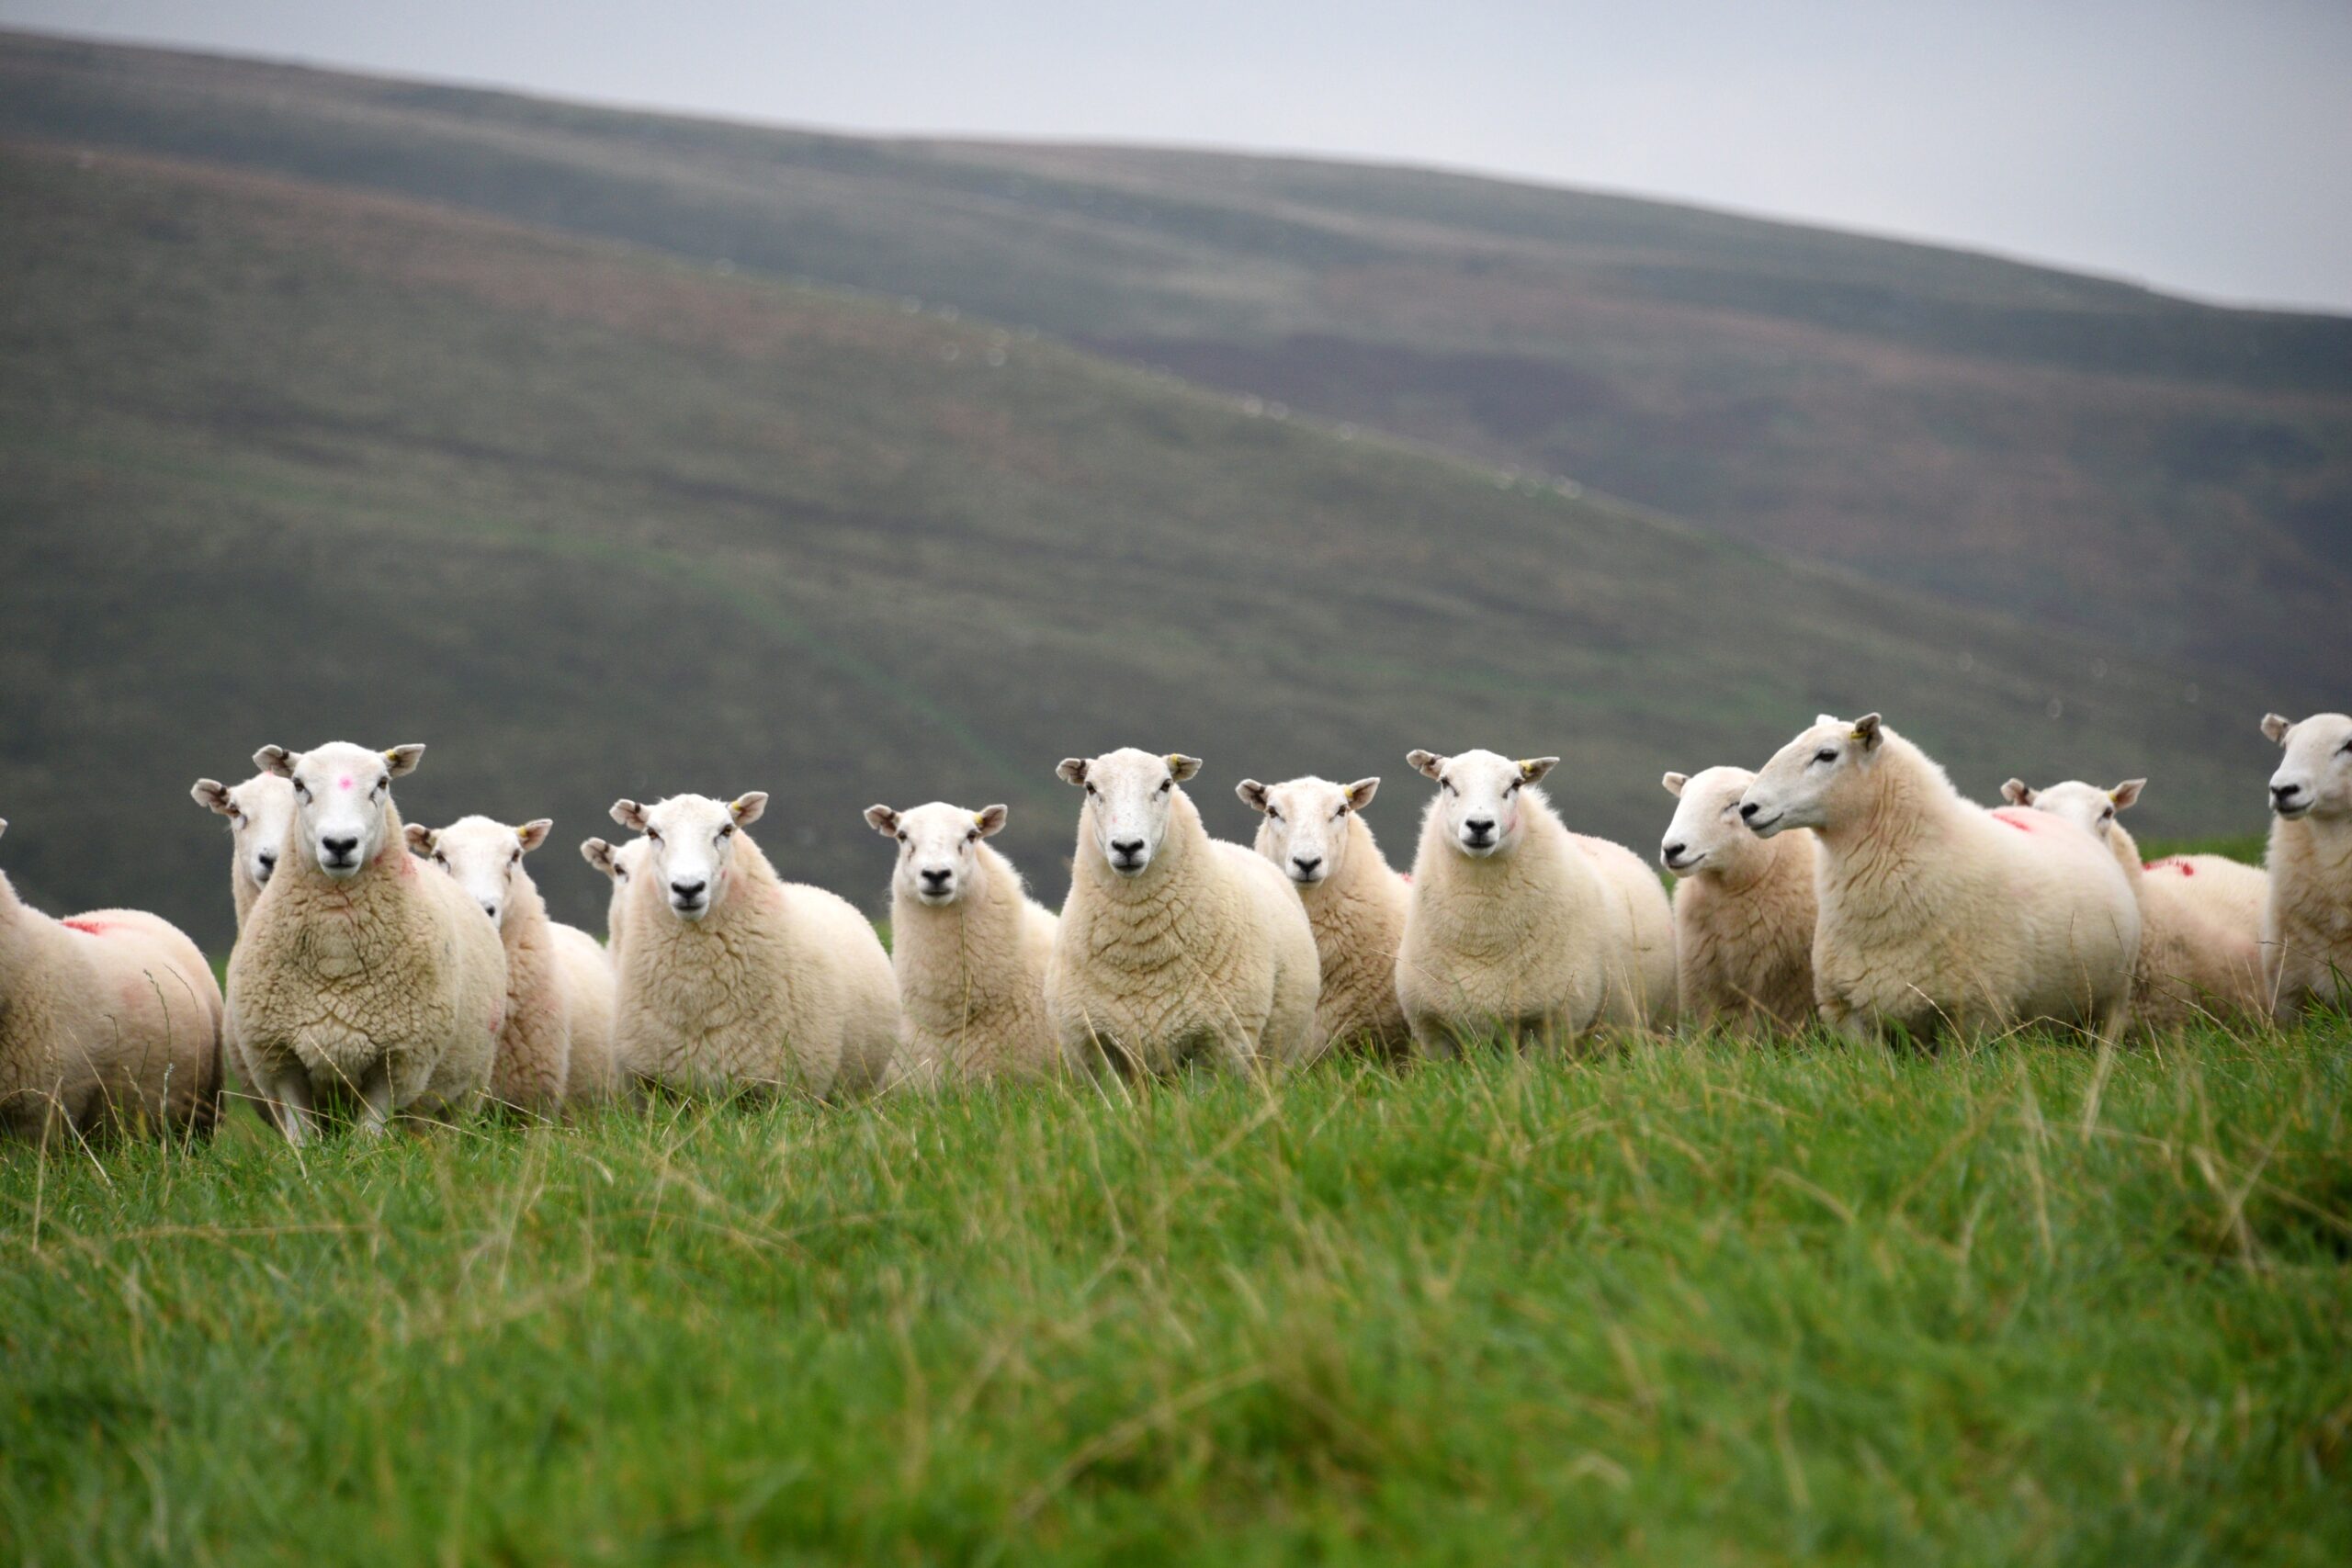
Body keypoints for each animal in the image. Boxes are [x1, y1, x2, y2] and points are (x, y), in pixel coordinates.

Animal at [225, 743, 505, 1144]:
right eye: (299, 784)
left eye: (382, 783)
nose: (340, 844)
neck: (336, 952)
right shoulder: (279, 1060)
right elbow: (302, 1139)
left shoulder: (398, 1062)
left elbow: (367, 1140)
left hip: (469, 1086)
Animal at [609, 792, 897, 1098]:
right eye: (652, 833)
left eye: (726, 830)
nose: (688, 888)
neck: (698, 993)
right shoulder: (651, 1087)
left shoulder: (787, 1090)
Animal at [1045, 749, 1319, 1075]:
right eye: (1090, 787)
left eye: (1165, 785)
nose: (1127, 846)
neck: (1138, 949)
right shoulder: (1089, 1047)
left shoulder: (1224, 1043)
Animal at [1396, 750, 1676, 1052]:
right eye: (1445, 782)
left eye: (1515, 785)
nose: (1480, 825)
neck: (1480, 935)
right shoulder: (1432, 1028)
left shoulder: (1552, 1023)